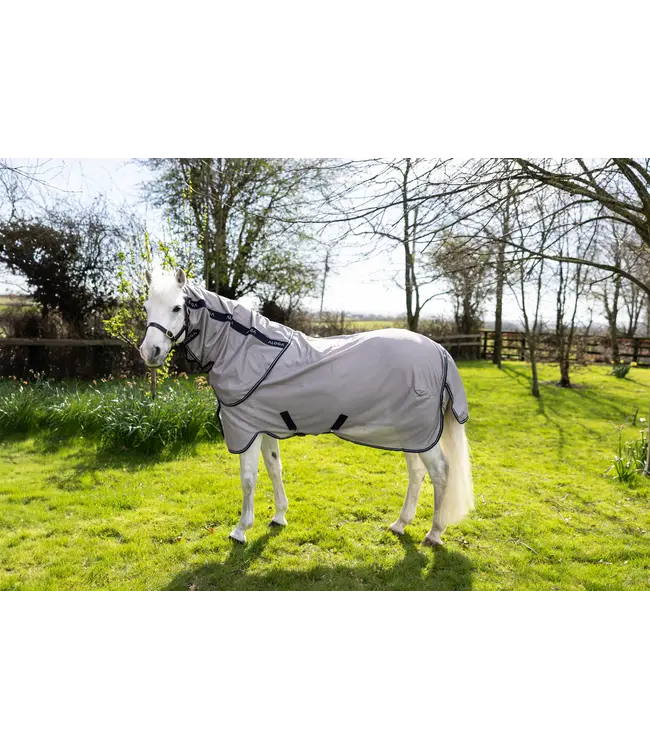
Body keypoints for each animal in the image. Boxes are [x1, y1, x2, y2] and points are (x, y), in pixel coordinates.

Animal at [139, 268, 474, 546]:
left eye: (177, 308)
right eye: (146, 308)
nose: (150, 352)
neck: (247, 351)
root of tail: (440, 351)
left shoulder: (246, 431)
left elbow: (248, 479)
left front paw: (240, 530)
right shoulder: (264, 427)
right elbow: (274, 468)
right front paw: (279, 516)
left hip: (421, 434)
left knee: (440, 474)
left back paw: (434, 533)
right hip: (411, 434)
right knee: (417, 474)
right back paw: (400, 525)